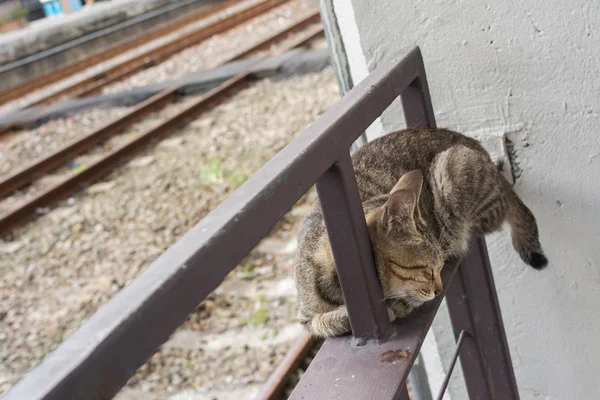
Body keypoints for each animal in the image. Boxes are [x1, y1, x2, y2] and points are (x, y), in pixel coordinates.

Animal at [292, 128, 548, 338]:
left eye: (439, 268)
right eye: (427, 270)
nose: (439, 290)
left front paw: (395, 306)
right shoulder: (306, 318)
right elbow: (322, 322)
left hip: (451, 171)